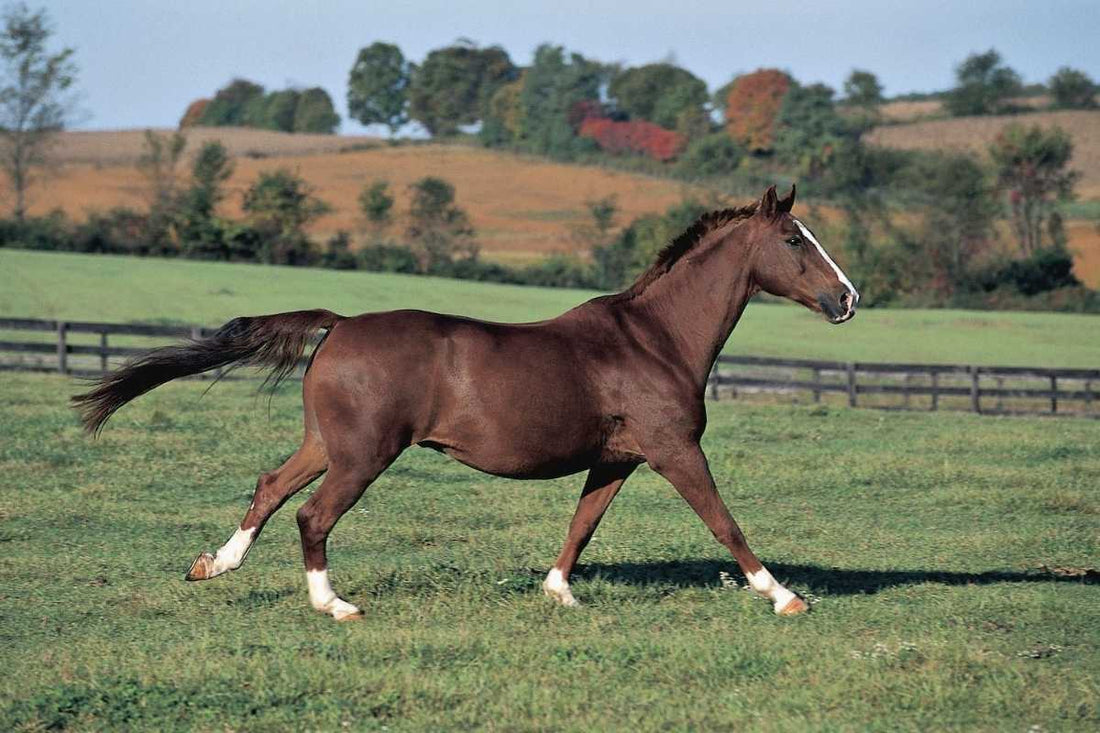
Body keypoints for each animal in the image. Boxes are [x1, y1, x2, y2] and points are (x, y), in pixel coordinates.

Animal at [73, 184, 858, 620]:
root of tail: (339, 324)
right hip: (363, 456)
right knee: (311, 514)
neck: (654, 338)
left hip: (327, 444)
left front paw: (558, 593)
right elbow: (725, 523)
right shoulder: (674, 451)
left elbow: (582, 526)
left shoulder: (619, 460)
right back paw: (336, 605)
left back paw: (214, 565)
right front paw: (785, 596)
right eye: (795, 239)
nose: (848, 299)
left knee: (270, 488)